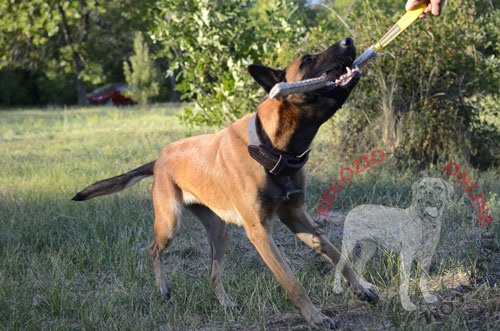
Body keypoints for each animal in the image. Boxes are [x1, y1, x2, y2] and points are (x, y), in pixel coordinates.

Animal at [72, 38, 378, 330]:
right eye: (308, 59)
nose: (348, 41)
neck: (270, 147)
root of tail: (159, 158)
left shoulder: (299, 219)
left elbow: (337, 255)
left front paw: (361, 288)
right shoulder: (259, 233)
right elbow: (292, 282)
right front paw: (316, 318)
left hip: (219, 232)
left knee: (212, 273)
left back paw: (226, 303)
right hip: (170, 223)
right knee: (154, 249)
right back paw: (163, 288)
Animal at [332, 179, 454, 312]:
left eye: (438, 187)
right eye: (422, 187)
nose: (427, 193)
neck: (426, 222)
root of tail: (352, 209)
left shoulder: (427, 256)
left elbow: (423, 279)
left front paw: (427, 297)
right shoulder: (406, 256)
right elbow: (405, 283)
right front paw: (407, 305)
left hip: (370, 247)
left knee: (358, 265)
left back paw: (365, 286)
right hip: (349, 244)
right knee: (339, 264)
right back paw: (337, 288)